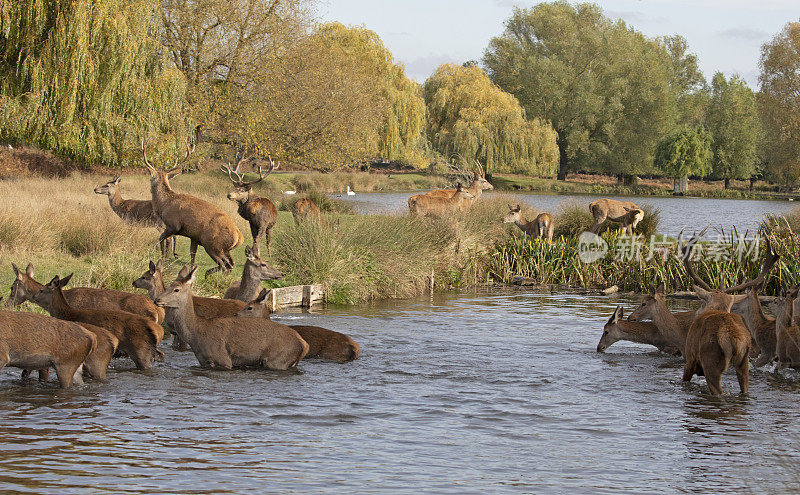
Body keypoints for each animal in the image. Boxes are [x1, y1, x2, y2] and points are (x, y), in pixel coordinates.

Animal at [143, 141, 244, 278]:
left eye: (150, 178)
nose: (149, 188)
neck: (164, 205)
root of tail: (239, 237)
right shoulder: (194, 237)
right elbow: (192, 256)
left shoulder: (173, 225)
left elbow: (162, 238)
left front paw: (162, 258)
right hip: (224, 249)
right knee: (231, 264)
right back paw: (209, 274)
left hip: (212, 245)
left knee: (225, 266)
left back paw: (209, 276)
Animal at [152, 266, 308, 370]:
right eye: (168, 286)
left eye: (176, 289)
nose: (157, 300)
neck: (197, 335)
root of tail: (304, 345)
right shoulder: (203, 361)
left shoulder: (223, 359)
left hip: (278, 359)